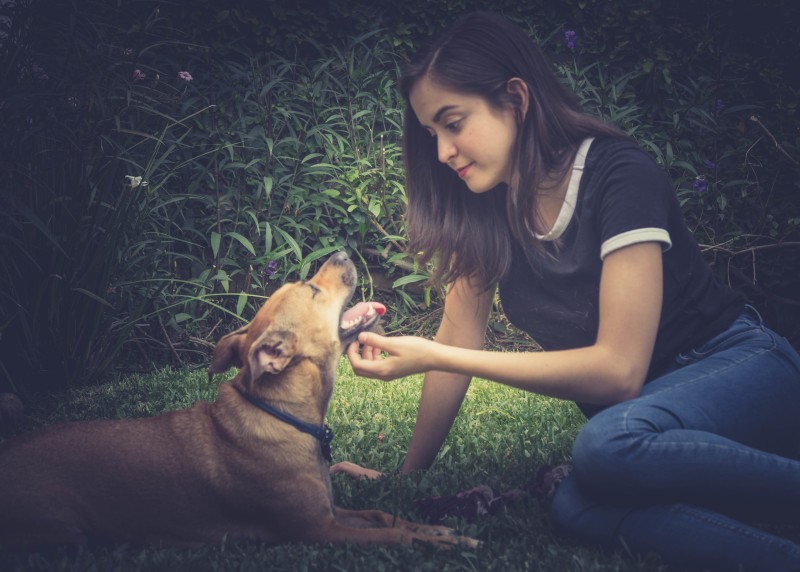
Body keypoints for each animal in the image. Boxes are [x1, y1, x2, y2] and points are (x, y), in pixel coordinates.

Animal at [0, 252, 476, 548]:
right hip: (64, 526)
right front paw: (434, 540)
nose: (340, 252)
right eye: (312, 290)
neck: (283, 414)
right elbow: (389, 534)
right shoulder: (317, 530)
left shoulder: (332, 511)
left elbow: (381, 515)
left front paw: (434, 530)